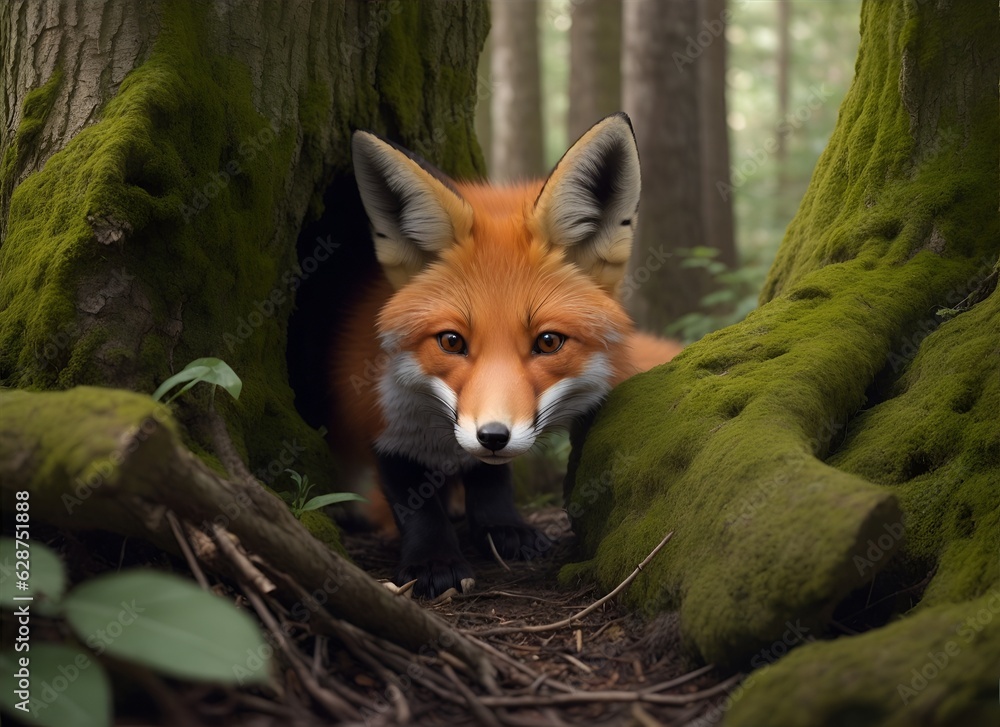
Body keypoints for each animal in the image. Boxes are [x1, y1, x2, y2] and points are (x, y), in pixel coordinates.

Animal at [329, 113, 680, 598]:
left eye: (548, 342)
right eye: (451, 341)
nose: (492, 436)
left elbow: (491, 480)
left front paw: (500, 528)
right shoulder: (378, 411)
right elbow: (412, 497)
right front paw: (433, 560)